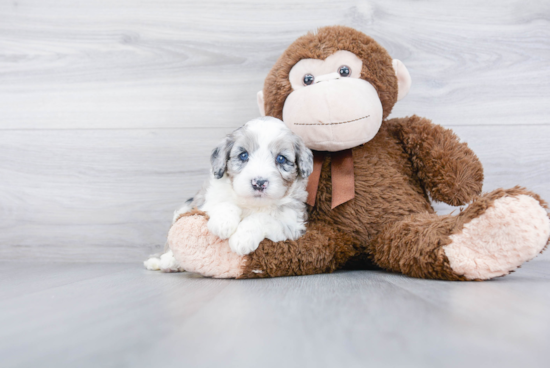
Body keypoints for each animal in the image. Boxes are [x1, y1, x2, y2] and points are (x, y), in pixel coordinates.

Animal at [144, 116, 312, 272]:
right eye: (243, 155)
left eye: (281, 158)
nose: (259, 182)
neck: (252, 204)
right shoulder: (207, 200)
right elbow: (224, 203)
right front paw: (223, 223)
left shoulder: (293, 223)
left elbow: (263, 218)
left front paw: (242, 238)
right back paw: (165, 261)